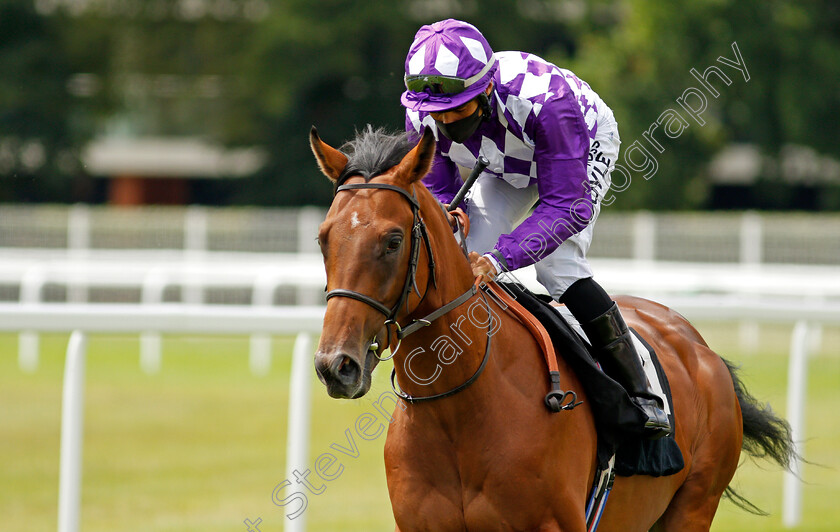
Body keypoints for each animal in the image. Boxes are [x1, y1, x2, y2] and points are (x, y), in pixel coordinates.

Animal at [308, 125, 796, 532]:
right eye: (323, 238)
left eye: (393, 241)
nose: (336, 365)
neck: (459, 409)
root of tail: (699, 347)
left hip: (693, 506)